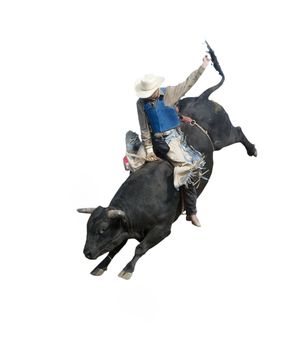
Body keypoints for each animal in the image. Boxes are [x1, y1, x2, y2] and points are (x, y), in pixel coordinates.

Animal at [78, 43, 258, 278]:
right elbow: (115, 248)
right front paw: (100, 266)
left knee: (238, 131)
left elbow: (140, 248)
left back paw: (252, 150)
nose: (87, 253)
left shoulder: (162, 229)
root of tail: (201, 98)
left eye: (102, 230)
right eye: (88, 227)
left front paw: (127, 269)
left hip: (223, 136)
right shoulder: (125, 230)